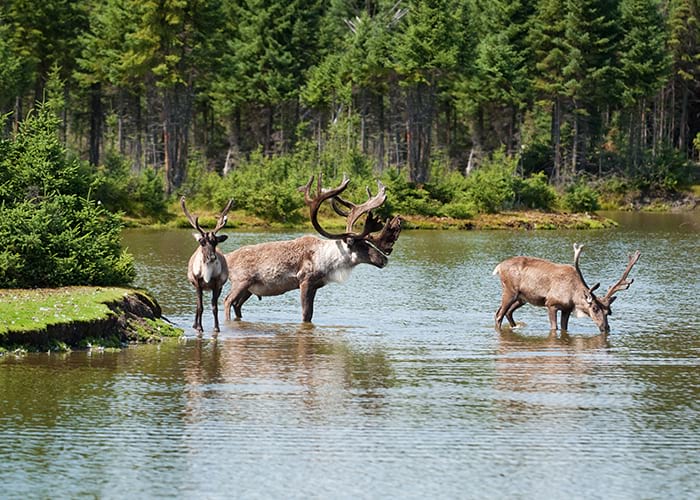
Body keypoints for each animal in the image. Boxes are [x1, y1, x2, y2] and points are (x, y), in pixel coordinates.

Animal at [181, 196, 234, 333]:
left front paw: (216, 328)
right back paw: (194, 325)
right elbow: (200, 307)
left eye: (216, 242)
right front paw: (199, 327)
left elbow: (214, 307)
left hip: (219, 287)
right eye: (202, 242)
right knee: (197, 304)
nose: (212, 257)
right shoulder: (197, 283)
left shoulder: (217, 284)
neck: (207, 275)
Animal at [223, 174, 402, 323]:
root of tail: (227, 257)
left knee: (237, 305)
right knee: (227, 301)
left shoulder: (315, 286)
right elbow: (306, 314)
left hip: (249, 289)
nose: (384, 259)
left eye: (369, 243)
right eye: (362, 245)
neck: (328, 259)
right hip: (241, 281)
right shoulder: (305, 280)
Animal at [493, 243, 641, 334]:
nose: (606, 328)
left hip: (522, 298)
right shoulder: (551, 304)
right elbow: (555, 328)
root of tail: (499, 267)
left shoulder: (567, 309)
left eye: (609, 311)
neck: (573, 296)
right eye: (594, 308)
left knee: (508, 312)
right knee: (498, 314)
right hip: (509, 291)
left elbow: (565, 328)